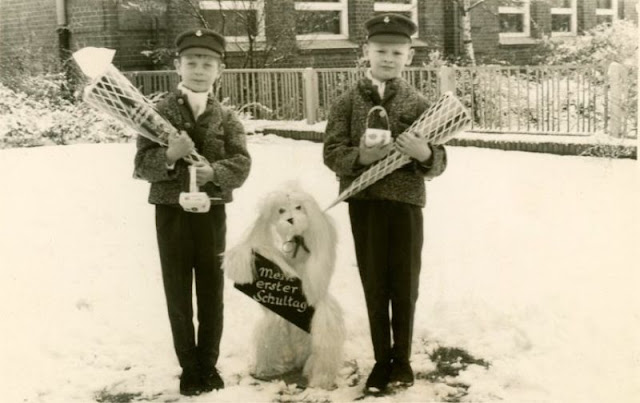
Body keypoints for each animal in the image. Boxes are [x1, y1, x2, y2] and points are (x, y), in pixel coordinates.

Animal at [224, 185, 344, 390]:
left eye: (298, 207)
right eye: (281, 210)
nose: (290, 219)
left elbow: (315, 276)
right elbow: (257, 249)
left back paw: (319, 379)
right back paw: (269, 368)